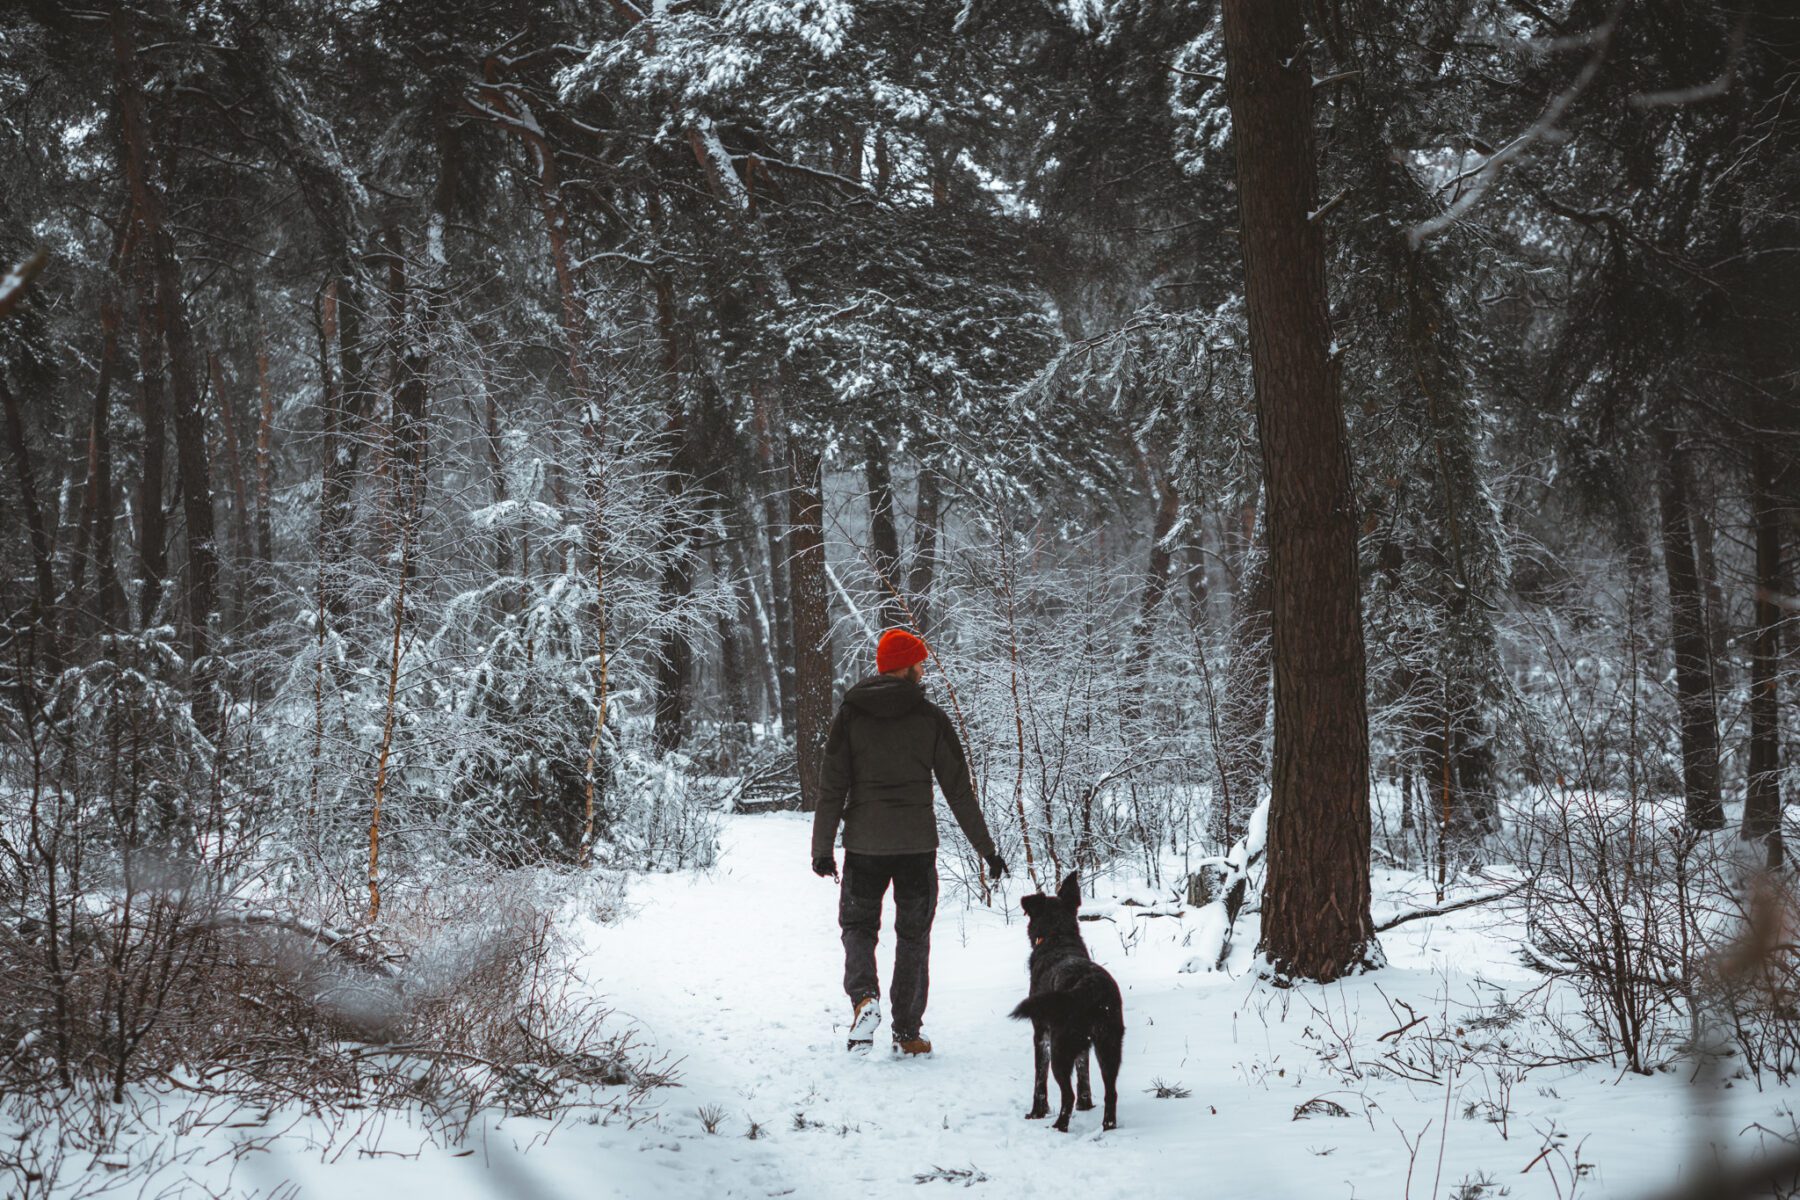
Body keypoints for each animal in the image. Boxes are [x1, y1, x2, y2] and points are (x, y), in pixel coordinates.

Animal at [1008, 867, 1116, 1129]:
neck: (1057, 937)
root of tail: (1089, 985)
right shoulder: (1084, 1045)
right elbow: (1084, 1073)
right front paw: (1086, 1105)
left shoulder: (1041, 1034)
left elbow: (1040, 1080)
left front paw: (1037, 1112)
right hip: (1109, 1044)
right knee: (1111, 1092)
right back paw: (1108, 1125)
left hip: (1060, 1047)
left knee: (1067, 1094)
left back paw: (1059, 1127)